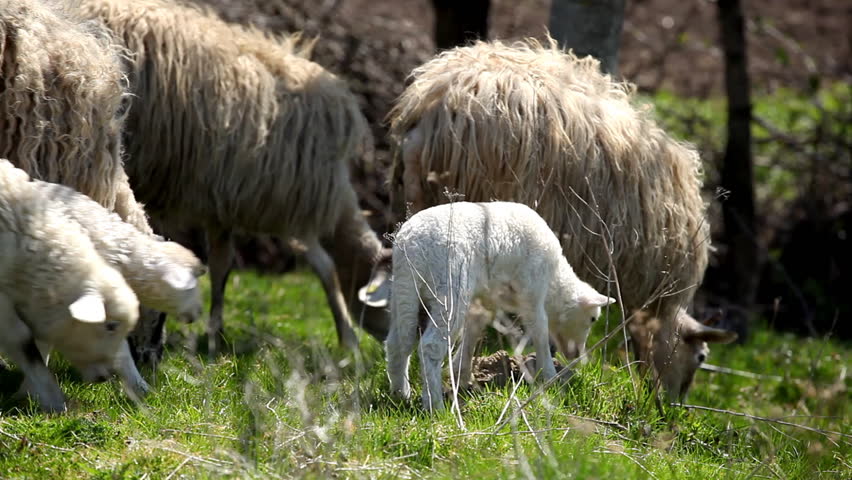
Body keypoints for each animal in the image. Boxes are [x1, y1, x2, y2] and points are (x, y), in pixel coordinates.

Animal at [77, 0, 385, 355]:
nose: (385, 353)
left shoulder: (221, 201)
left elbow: (221, 266)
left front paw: (214, 334)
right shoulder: (286, 201)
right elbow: (325, 268)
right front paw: (349, 340)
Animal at [385, 201, 616, 412]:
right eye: (593, 319)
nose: (576, 355)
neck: (554, 281)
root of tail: (412, 247)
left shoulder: (484, 300)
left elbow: (472, 332)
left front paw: (462, 376)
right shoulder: (532, 291)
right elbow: (539, 330)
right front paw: (550, 377)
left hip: (403, 291)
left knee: (397, 343)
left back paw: (400, 395)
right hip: (449, 288)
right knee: (430, 346)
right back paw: (435, 406)